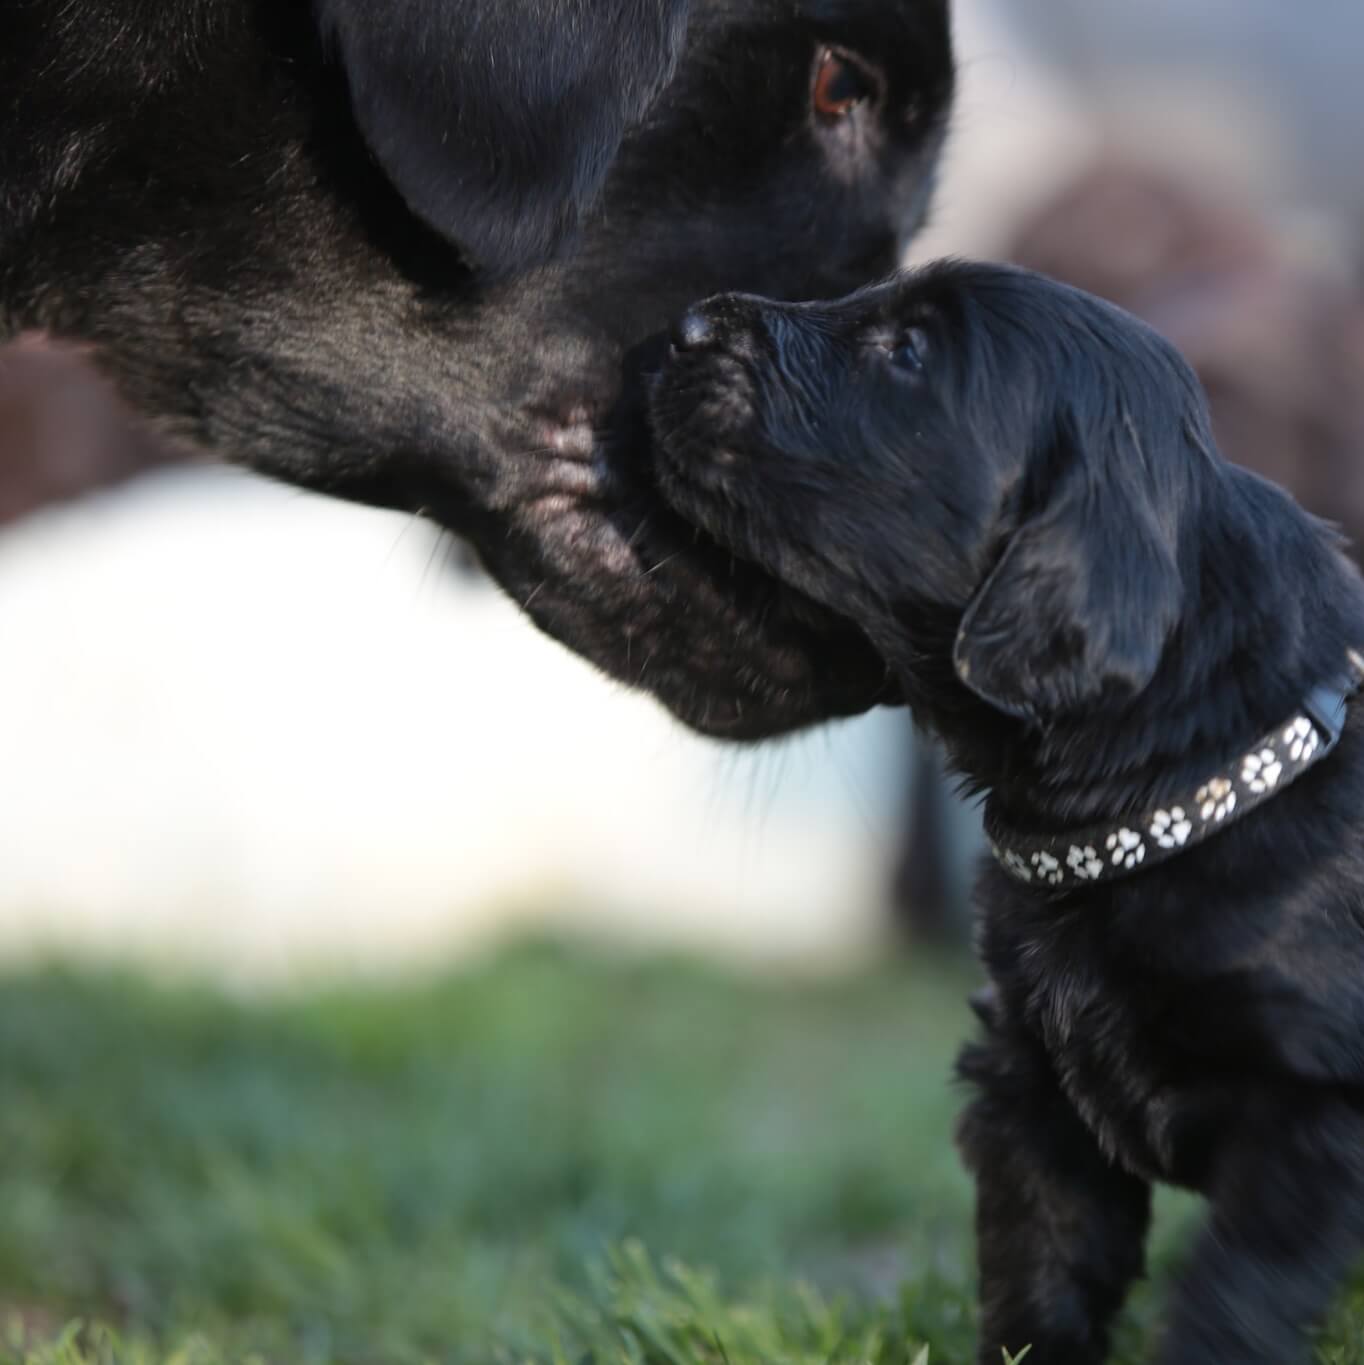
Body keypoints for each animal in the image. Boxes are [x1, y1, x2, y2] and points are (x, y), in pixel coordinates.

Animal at [647, 257, 1364, 1365]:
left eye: (906, 351)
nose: (679, 327)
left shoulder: (1312, 1114)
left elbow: (1233, 1298)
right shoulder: (1032, 1088)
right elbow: (1040, 1270)